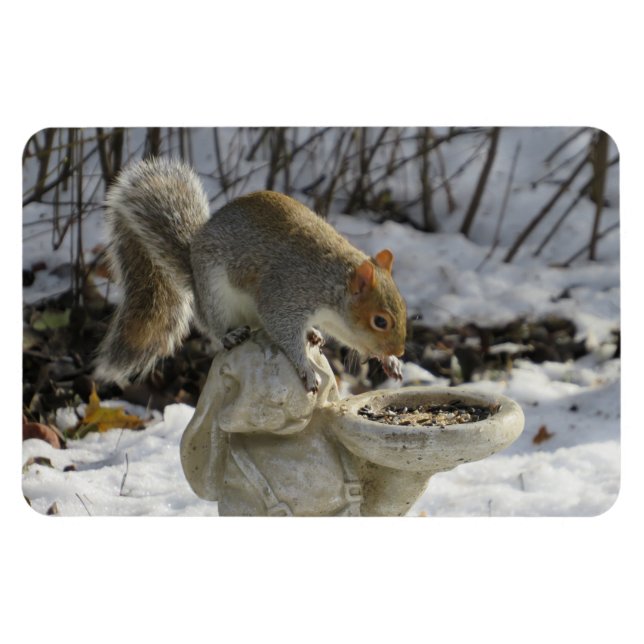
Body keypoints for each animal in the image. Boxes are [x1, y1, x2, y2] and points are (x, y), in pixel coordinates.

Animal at [94, 157, 407, 393]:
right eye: (380, 321)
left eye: (404, 308)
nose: (401, 350)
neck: (333, 284)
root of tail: (193, 269)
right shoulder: (287, 294)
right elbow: (281, 328)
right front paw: (306, 369)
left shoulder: (339, 322)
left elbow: (349, 337)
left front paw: (390, 362)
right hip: (215, 296)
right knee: (213, 327)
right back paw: (230, 336)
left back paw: (312, 334)